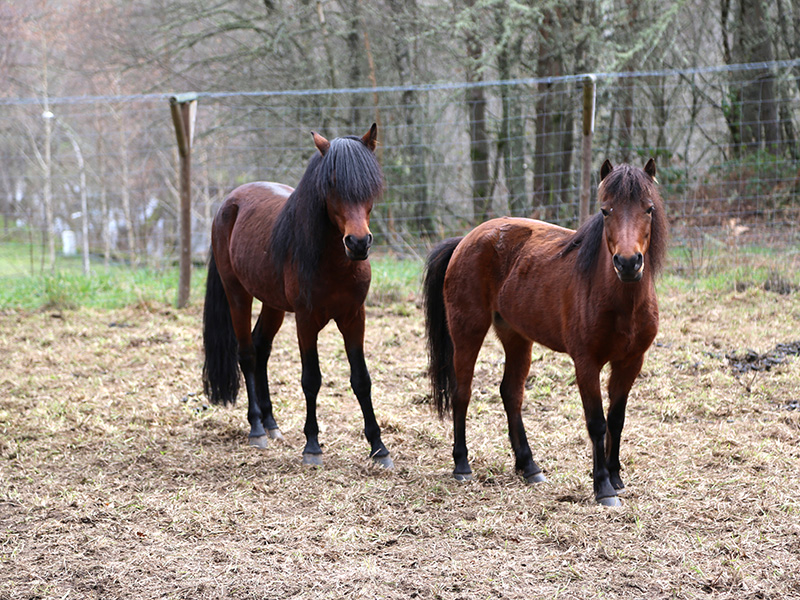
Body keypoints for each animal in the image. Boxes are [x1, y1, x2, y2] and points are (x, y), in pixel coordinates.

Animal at [202, 122, 392, 468]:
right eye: (331, 183)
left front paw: (379, 448)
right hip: (238, 295)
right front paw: (313, 447)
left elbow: (361, 379)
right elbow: (311, 379)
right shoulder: (306, 320)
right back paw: (256, 428)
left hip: (272, 303)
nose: (358, 243)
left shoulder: (354, 317)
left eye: (371, 184)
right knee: (247, 353)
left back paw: (271, 423)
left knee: (261, 347)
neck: (333, 261)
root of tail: (228, 204)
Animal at [424, 159, 668, 506]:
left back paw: (529, 466)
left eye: (648, 209)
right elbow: (597, 423)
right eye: (605, 211)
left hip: (515, 336)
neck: (619, 301)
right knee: (463, 392)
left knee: (511, 393)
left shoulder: (631, 362)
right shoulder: (586, 364)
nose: (628, 263)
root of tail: (466, 240)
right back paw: (462, 465)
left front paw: (616, 477)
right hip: (467, 331)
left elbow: (616, 420)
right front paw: (603, 487)